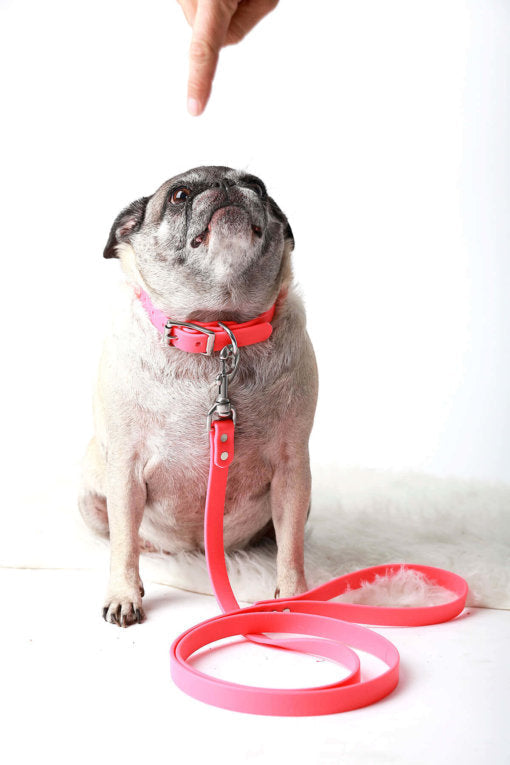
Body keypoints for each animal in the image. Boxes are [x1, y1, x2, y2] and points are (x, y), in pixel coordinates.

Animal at [78, 164, 318, 624]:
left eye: (256, 186)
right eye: (180, 195)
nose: (225, 184)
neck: (216, 329)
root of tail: (193, 552)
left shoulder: (292, 469)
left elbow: (292, 546)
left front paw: (295, 595)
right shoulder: (125, 469)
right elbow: (123, 542)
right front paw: (124, 592)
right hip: (92, 495)